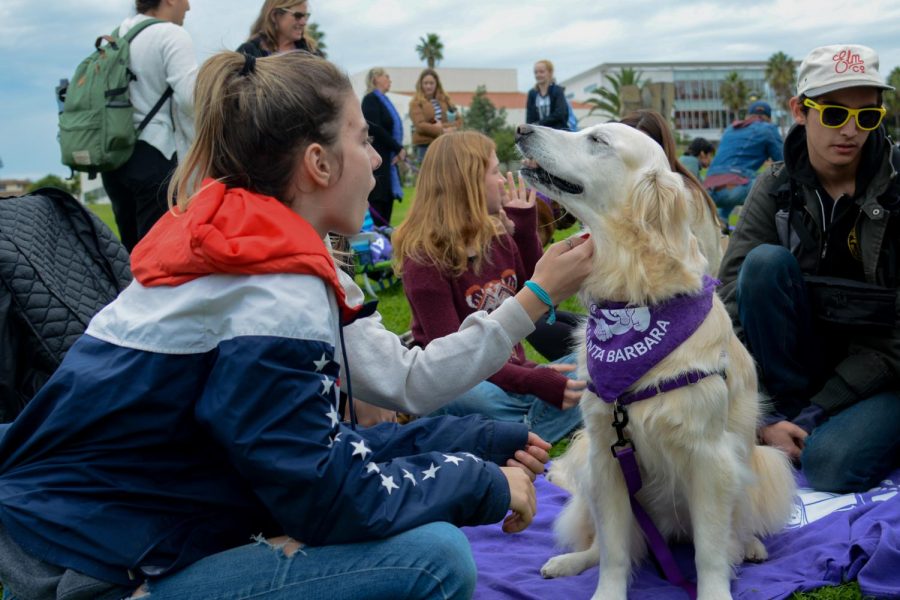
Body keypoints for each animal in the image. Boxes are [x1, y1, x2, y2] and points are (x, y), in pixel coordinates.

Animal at [512, 123, 796, 600]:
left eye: (597, 140)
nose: (521, 128)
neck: (635, 294)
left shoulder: (709, 458)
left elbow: (710, 552)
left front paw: (715, 591)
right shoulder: (607, 455)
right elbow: (613, 550)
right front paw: (606, 592)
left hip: (762, 461)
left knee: (738, 528)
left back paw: (750, 546)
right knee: (605, 541)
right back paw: (571, 561)